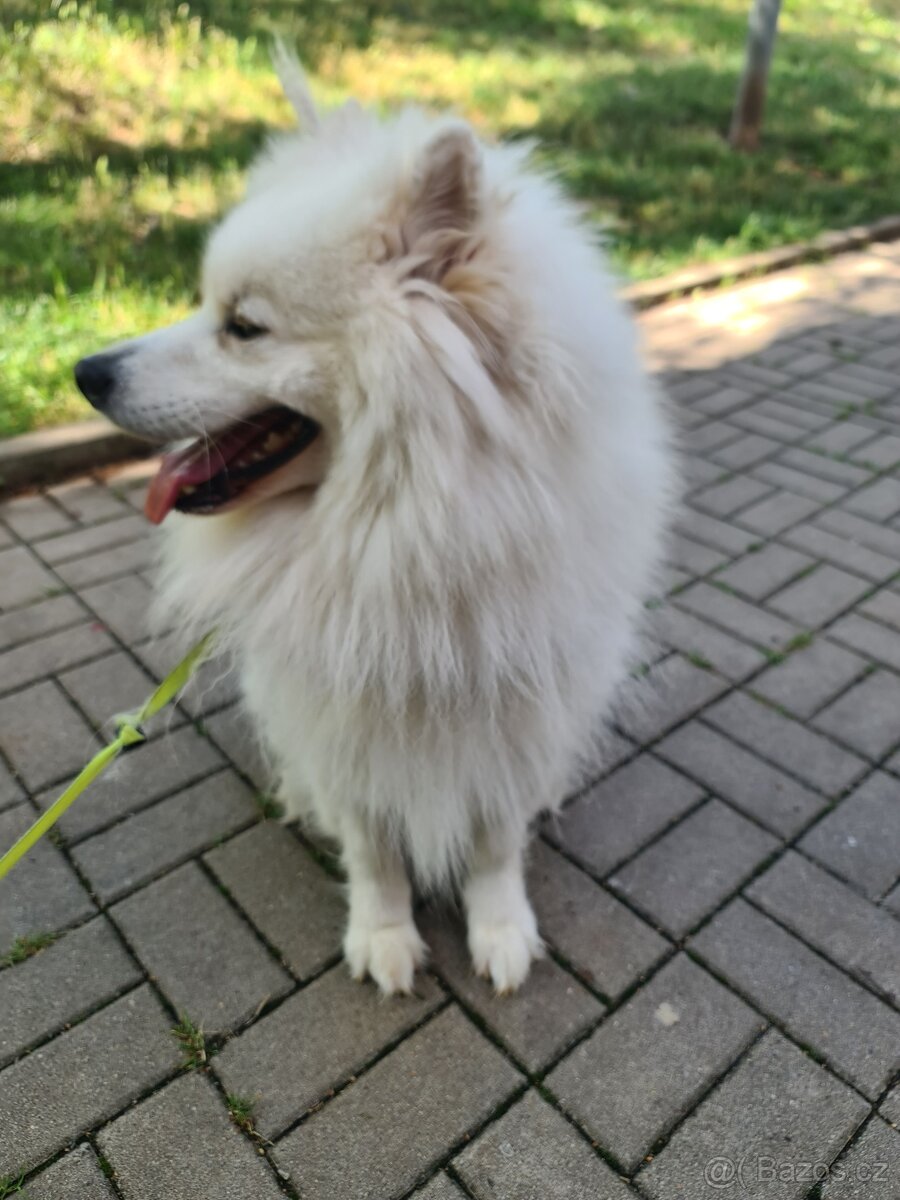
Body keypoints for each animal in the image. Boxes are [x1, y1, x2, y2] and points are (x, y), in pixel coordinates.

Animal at [75, 56, 676, 993]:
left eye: (243, 326)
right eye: (203, 303)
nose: (84, 372)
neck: (403, 534)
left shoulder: (515, 704)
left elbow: (495, 836)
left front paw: (501, 929)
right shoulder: (340, 714)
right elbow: (371, 843)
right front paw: (384, 936)